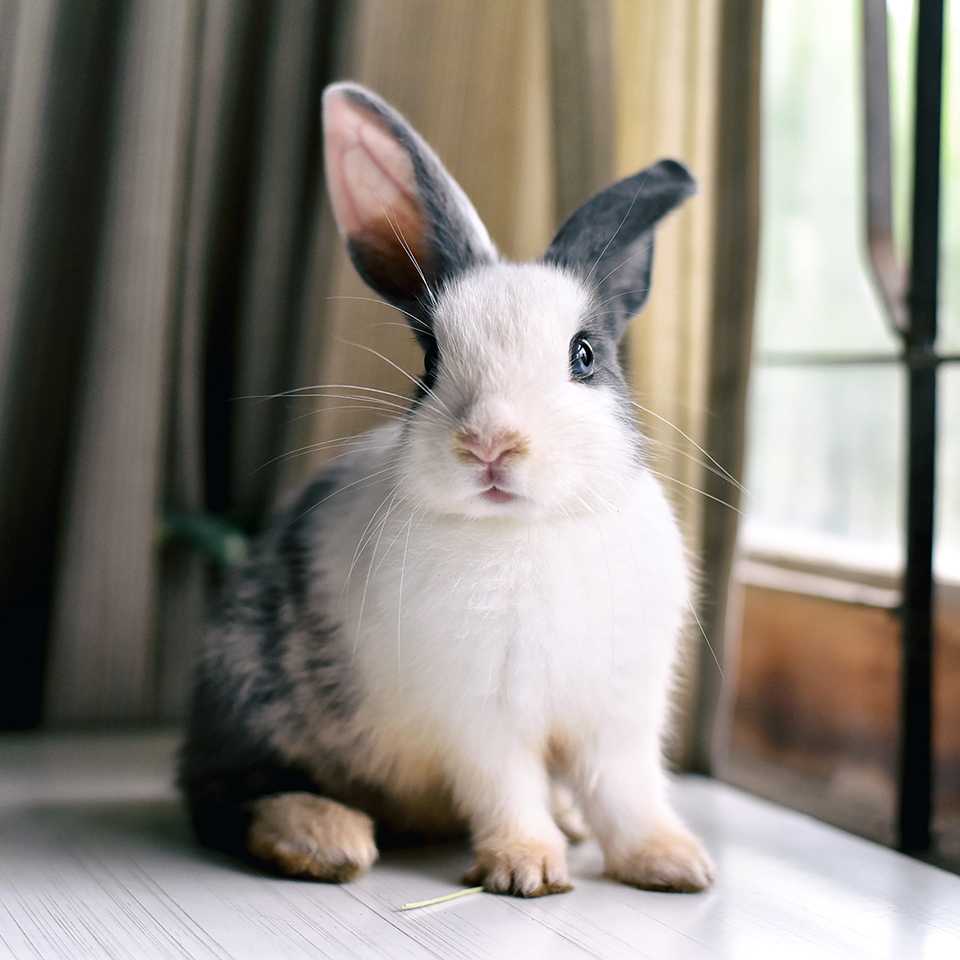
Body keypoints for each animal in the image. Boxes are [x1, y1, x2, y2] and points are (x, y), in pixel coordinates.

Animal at [179, 81, 715, 897]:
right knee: (225, 794)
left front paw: (675, 864)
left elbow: (627, 793)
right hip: (249, 692)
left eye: (585, 355)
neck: (528, 531)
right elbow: (507, 789)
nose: (490, 443)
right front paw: (527, 870)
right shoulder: (480, 716)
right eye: (430, 360)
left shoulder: (618, 715)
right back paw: (325, 837)